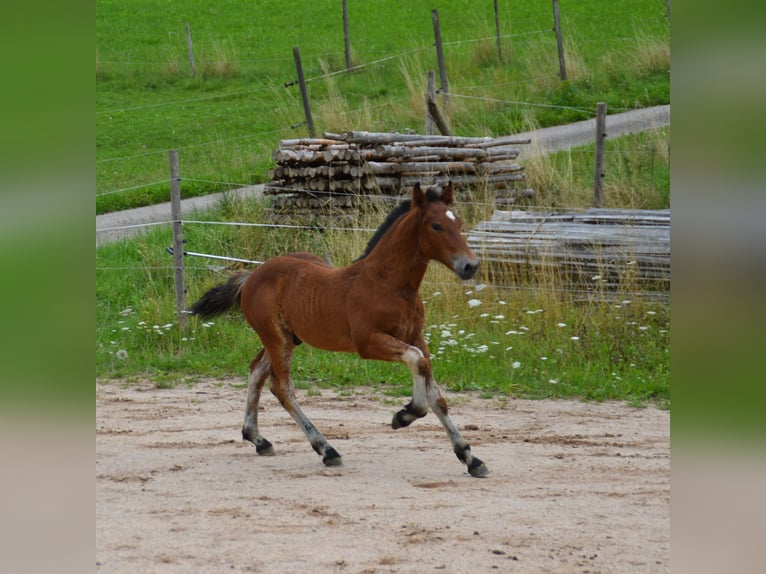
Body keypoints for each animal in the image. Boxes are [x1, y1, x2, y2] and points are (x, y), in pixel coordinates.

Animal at [189, 182, 489, 477]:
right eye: (436, 225)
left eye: (458, 222)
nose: (470, 265)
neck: (387, 283)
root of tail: (252, 274)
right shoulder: (368, 342)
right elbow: (416, 362)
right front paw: (405, 414)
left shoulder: (415, 336)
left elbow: (435, 392)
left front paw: (471, 458)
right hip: (276, 338)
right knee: (283, 388)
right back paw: (327, 450)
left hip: (287, 337)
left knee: (256, 371)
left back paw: (258, 439)